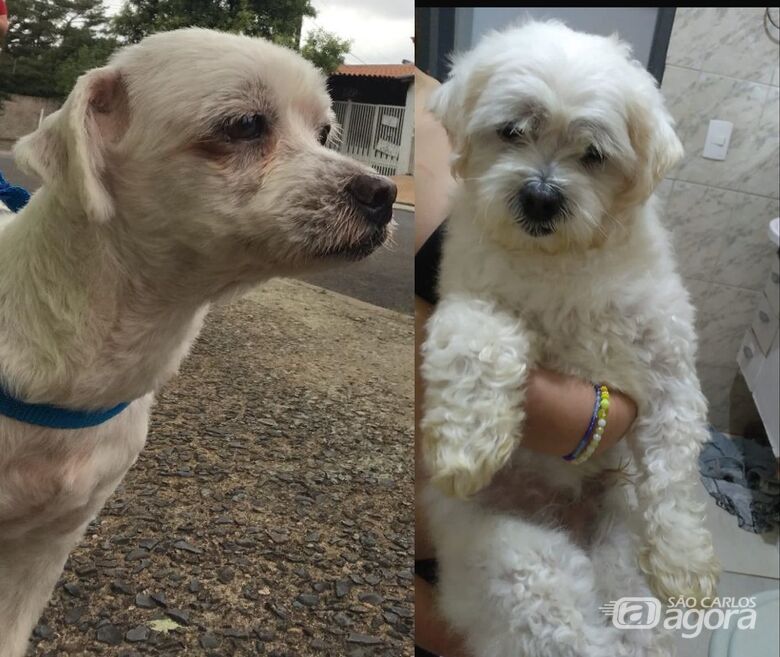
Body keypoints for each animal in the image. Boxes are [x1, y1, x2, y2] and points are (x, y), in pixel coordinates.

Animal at [420, 20, 720, 656]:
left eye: (594, 154)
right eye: (511, 131)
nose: (540, 195)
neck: (562, 263)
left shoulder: (669, 371)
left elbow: (674, 476)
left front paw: (684, 561)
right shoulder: (470, 303)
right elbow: (479, 345)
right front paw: (466, 446)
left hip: (622, 562)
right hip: (517, 561)